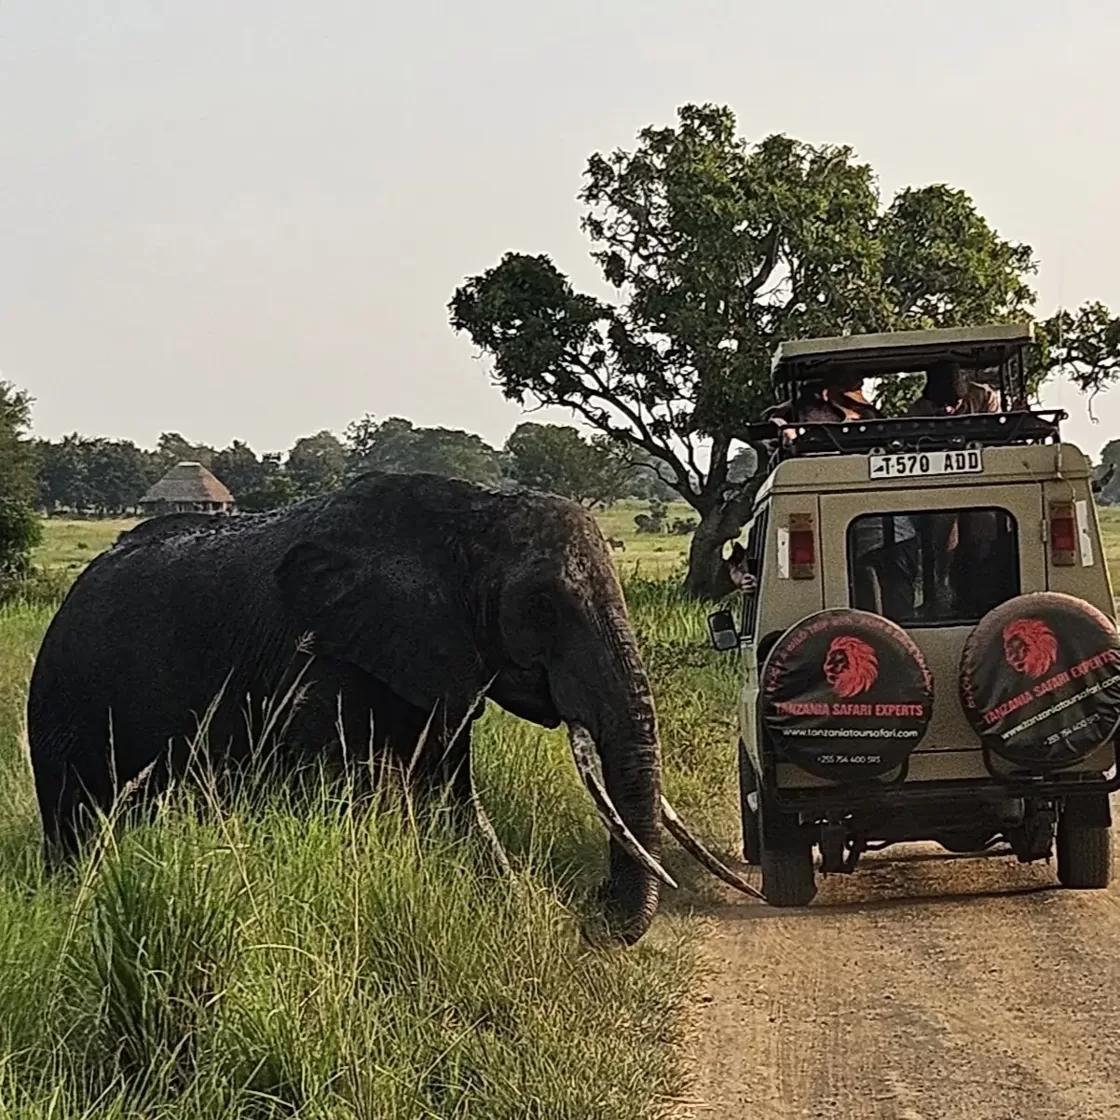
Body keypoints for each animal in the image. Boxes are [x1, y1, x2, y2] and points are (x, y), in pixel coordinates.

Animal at [27, 472, 750, 944]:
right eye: (542, 607)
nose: (596, 908)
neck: (471, 512)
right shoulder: (320, 662)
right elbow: (347, 796)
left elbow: (449, 793)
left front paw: (511, 902)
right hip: (62, 708)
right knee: (76, 819)